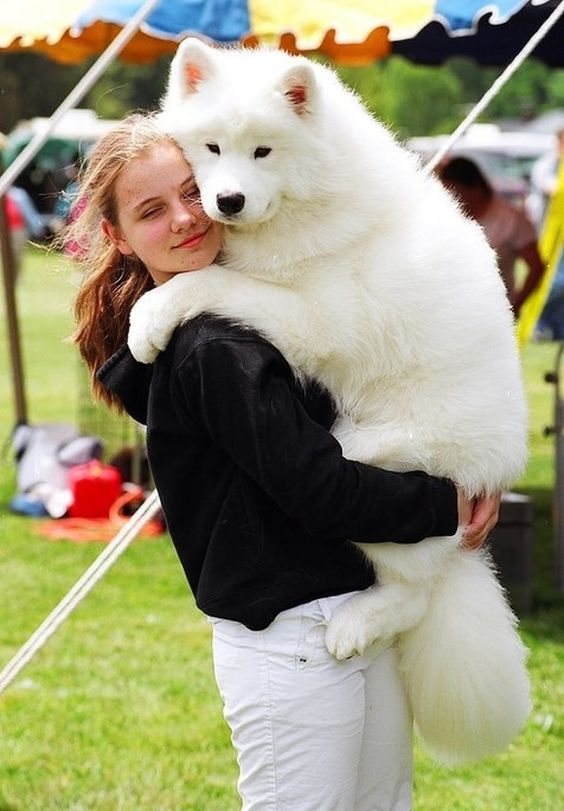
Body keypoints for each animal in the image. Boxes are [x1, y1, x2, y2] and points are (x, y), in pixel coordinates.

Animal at [129, 36, 532, 760]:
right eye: (211, 148)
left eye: (264, 151)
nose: (228, 201)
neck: (308, 198)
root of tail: (497, 467)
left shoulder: (311, 316)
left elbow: (206, 284)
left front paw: (147, 318)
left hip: (373, 465)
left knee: (414, 590)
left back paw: (356, 624)